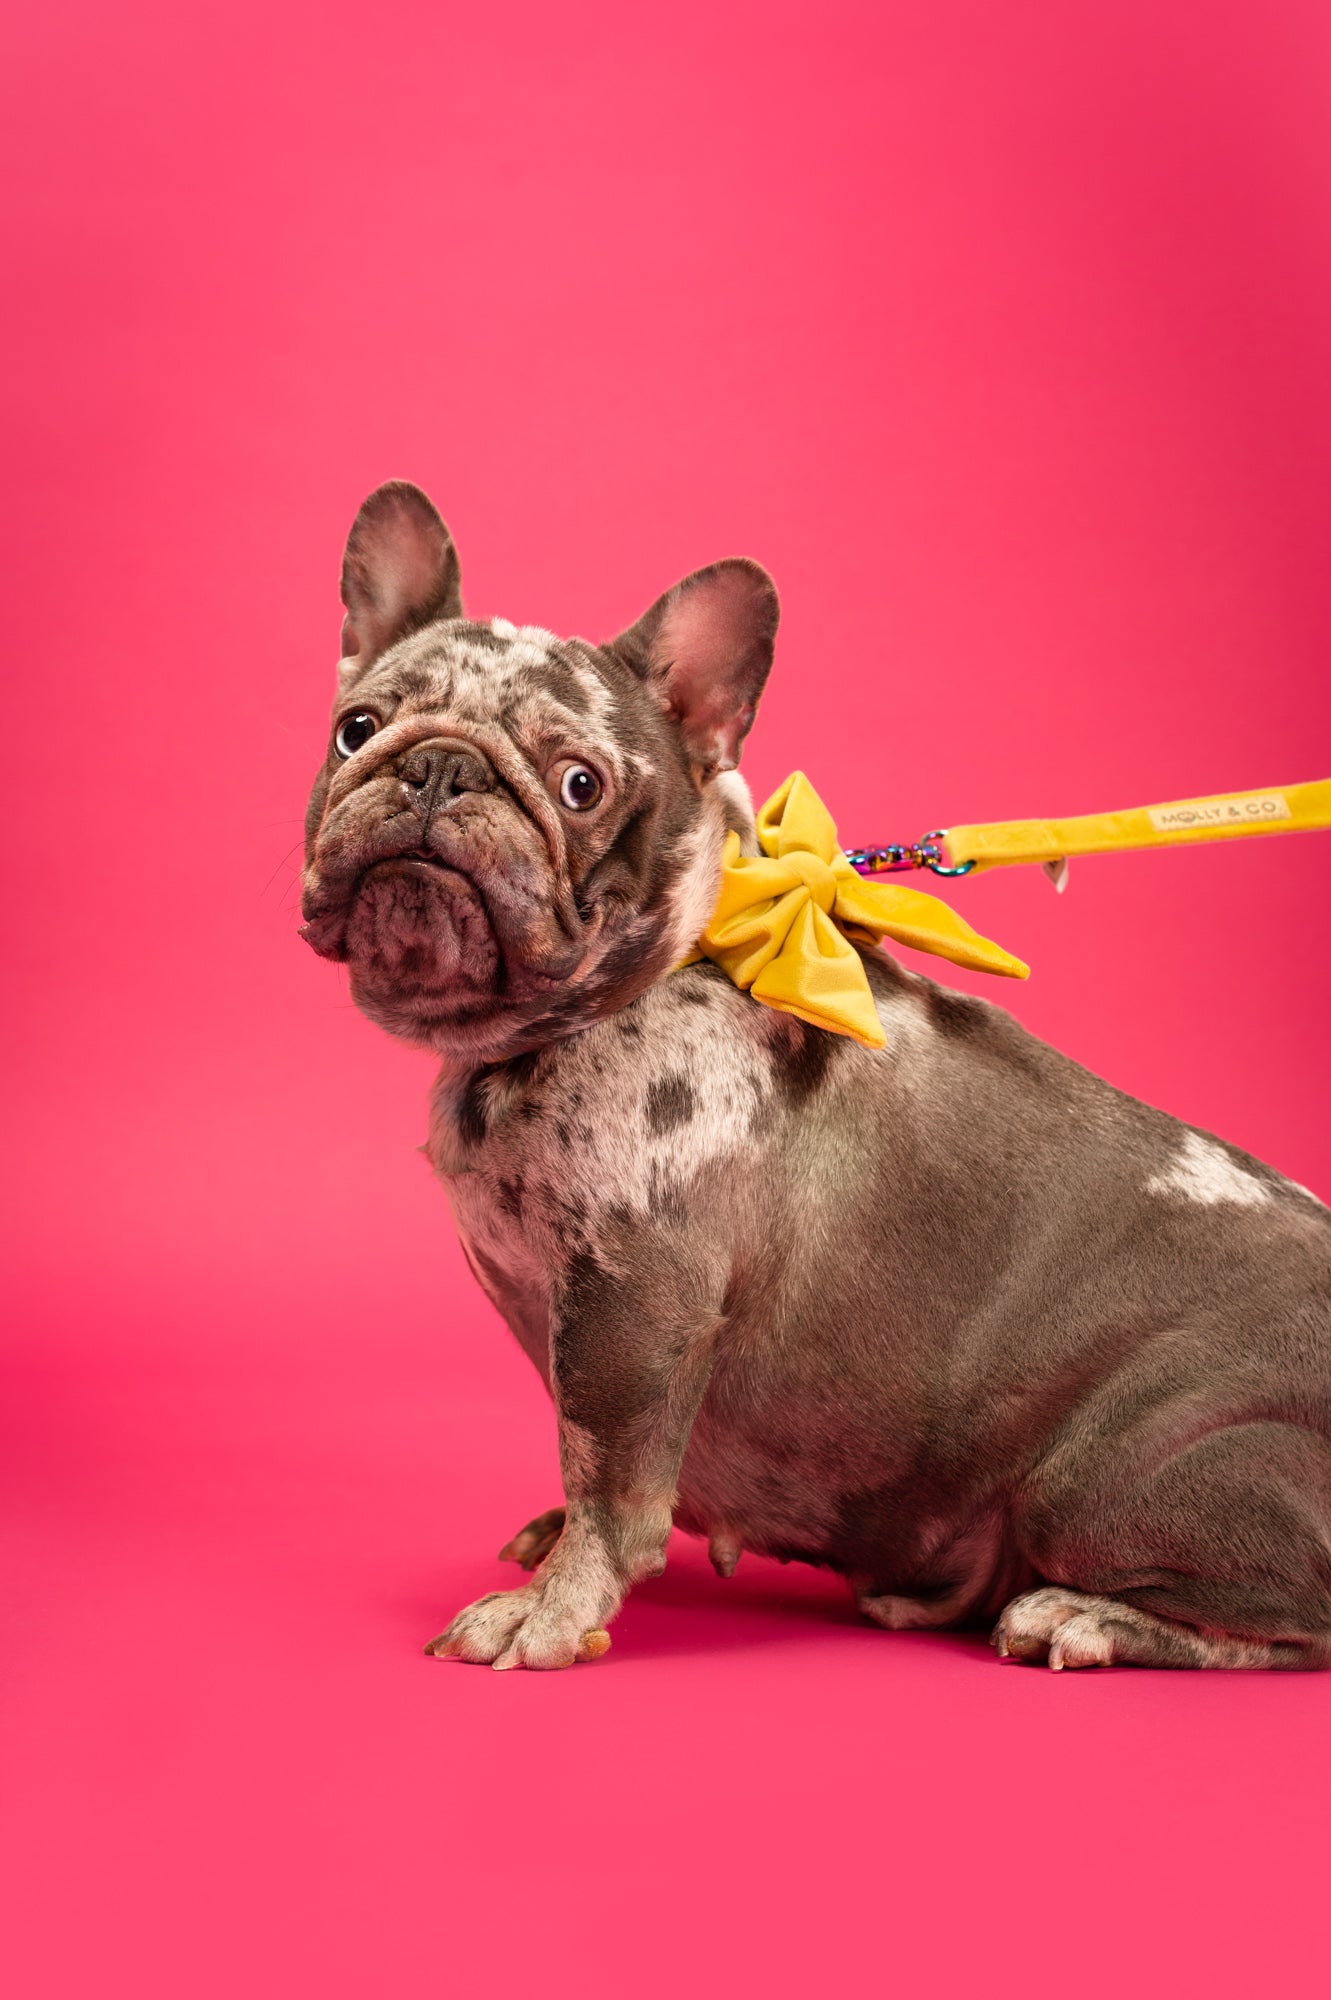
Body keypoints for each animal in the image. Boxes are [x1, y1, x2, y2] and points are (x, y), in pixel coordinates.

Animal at [301, 479, 1331, 1671]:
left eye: (579, 784)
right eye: (356, 727)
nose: (439, 766)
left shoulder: (635, 1301)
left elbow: (611, 1478)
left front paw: (553, 1609)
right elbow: (584, 1457)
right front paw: (552, 1547)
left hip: (1113, 1470)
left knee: (1289, 1622)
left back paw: (1084, 1616)